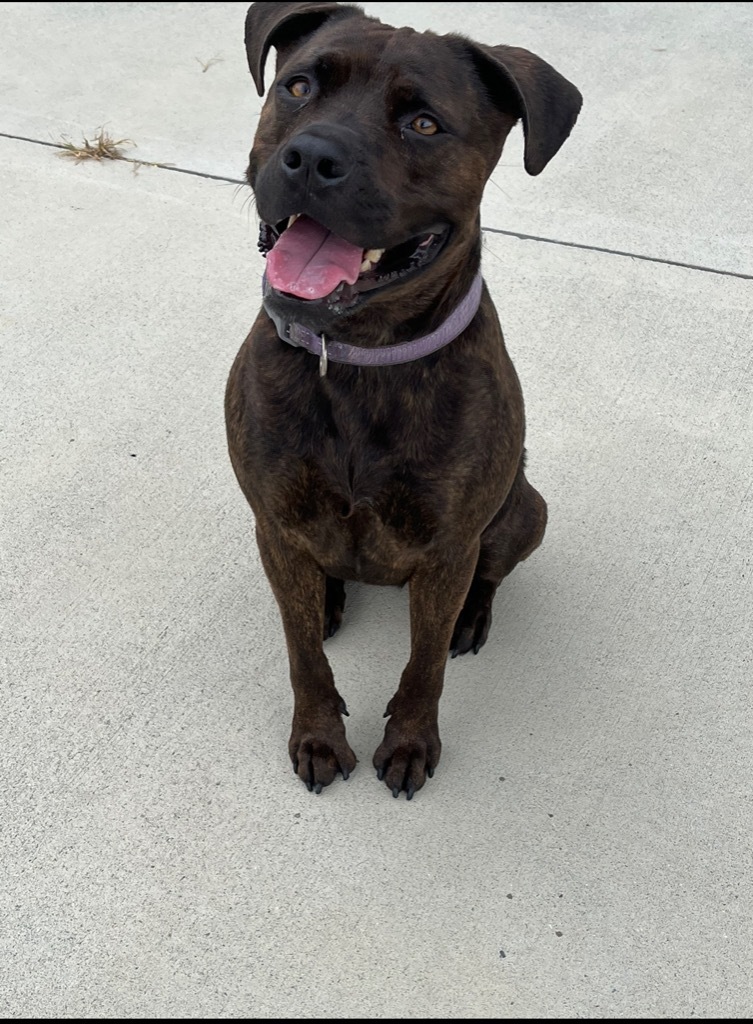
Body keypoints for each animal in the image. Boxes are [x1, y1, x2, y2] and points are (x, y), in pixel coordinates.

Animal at [223, 0, 581, 794]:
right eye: (298, 87)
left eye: (423, 123)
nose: (312, 158)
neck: (356, 357)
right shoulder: (274, 524)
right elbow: (301, 653)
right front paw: (318, 734)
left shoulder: (447, 549)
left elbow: (423, 664)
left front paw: (413, 740)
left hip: (525, 511)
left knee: (488, 575)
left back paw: (473, 618)